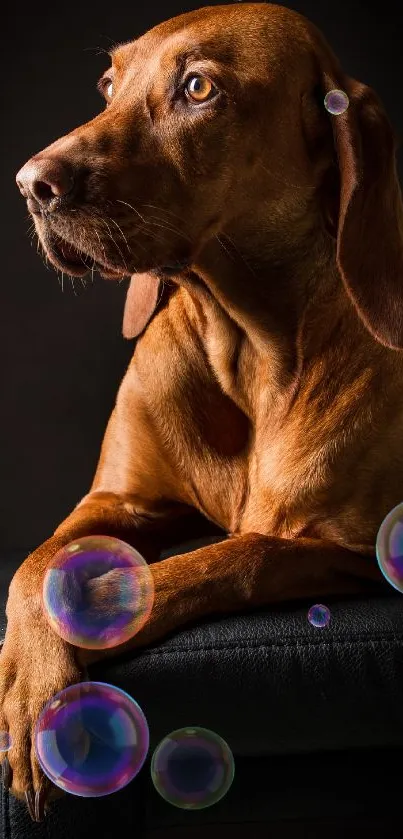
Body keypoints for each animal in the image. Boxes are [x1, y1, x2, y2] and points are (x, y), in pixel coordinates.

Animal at [3, 0, 403, 824]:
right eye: (108, 84)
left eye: (197, 88)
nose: (30, 185)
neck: (245, 343)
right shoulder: (115, 500)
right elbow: (34, 564)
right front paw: (30, 683)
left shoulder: (352, 549)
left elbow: (232, 557)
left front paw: (100, 610)